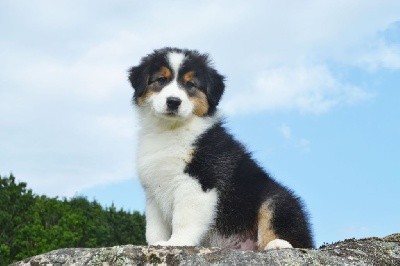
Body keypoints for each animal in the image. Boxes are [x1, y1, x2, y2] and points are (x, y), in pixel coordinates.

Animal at [130, 47, 314, 249]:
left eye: (190, 84)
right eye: (161, 80)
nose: (173, 101)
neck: (170, 130)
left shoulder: (200, 179)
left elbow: (184, 218)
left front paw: (177, 243)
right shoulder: (154, 189)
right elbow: (154, 227)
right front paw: (155, 244)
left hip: (276, 199)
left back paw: (278, 244)